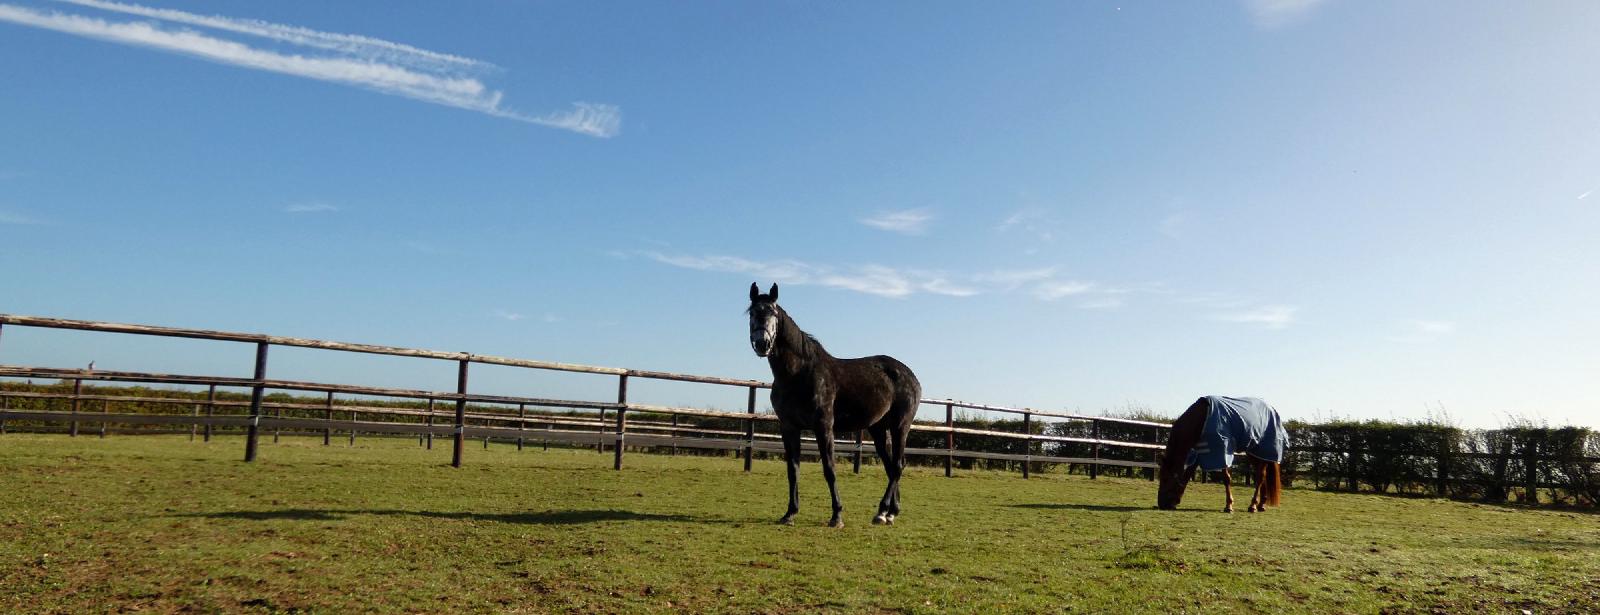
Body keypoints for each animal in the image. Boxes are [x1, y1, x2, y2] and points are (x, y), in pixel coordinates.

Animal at [747, 283, 923, 528]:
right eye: (752, 313)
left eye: (773, 312)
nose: (762, 343)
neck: (799, 373)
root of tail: (909, 375)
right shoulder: (789, 427)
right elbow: (793, 469)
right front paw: (790, 513)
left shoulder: (823, 426)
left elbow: (829, 469)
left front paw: (836, 516)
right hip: (878, 428)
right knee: (891, 466)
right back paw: (890, 512)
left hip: (900, 426)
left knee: (897, 465)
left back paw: (882, 513)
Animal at [1156, 395, 1288, 513]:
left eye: (1165, 478)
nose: (1162, 504)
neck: (1202, 418)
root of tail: (1272, 409)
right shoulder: (1201, 452)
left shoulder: (1222, 450)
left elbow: (1226, 479)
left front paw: (1229, 506)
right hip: (1254, 453)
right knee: (1263, 476)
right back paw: (1261, 505)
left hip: (1264, 451)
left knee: (1260, 477)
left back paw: (1253, 506)